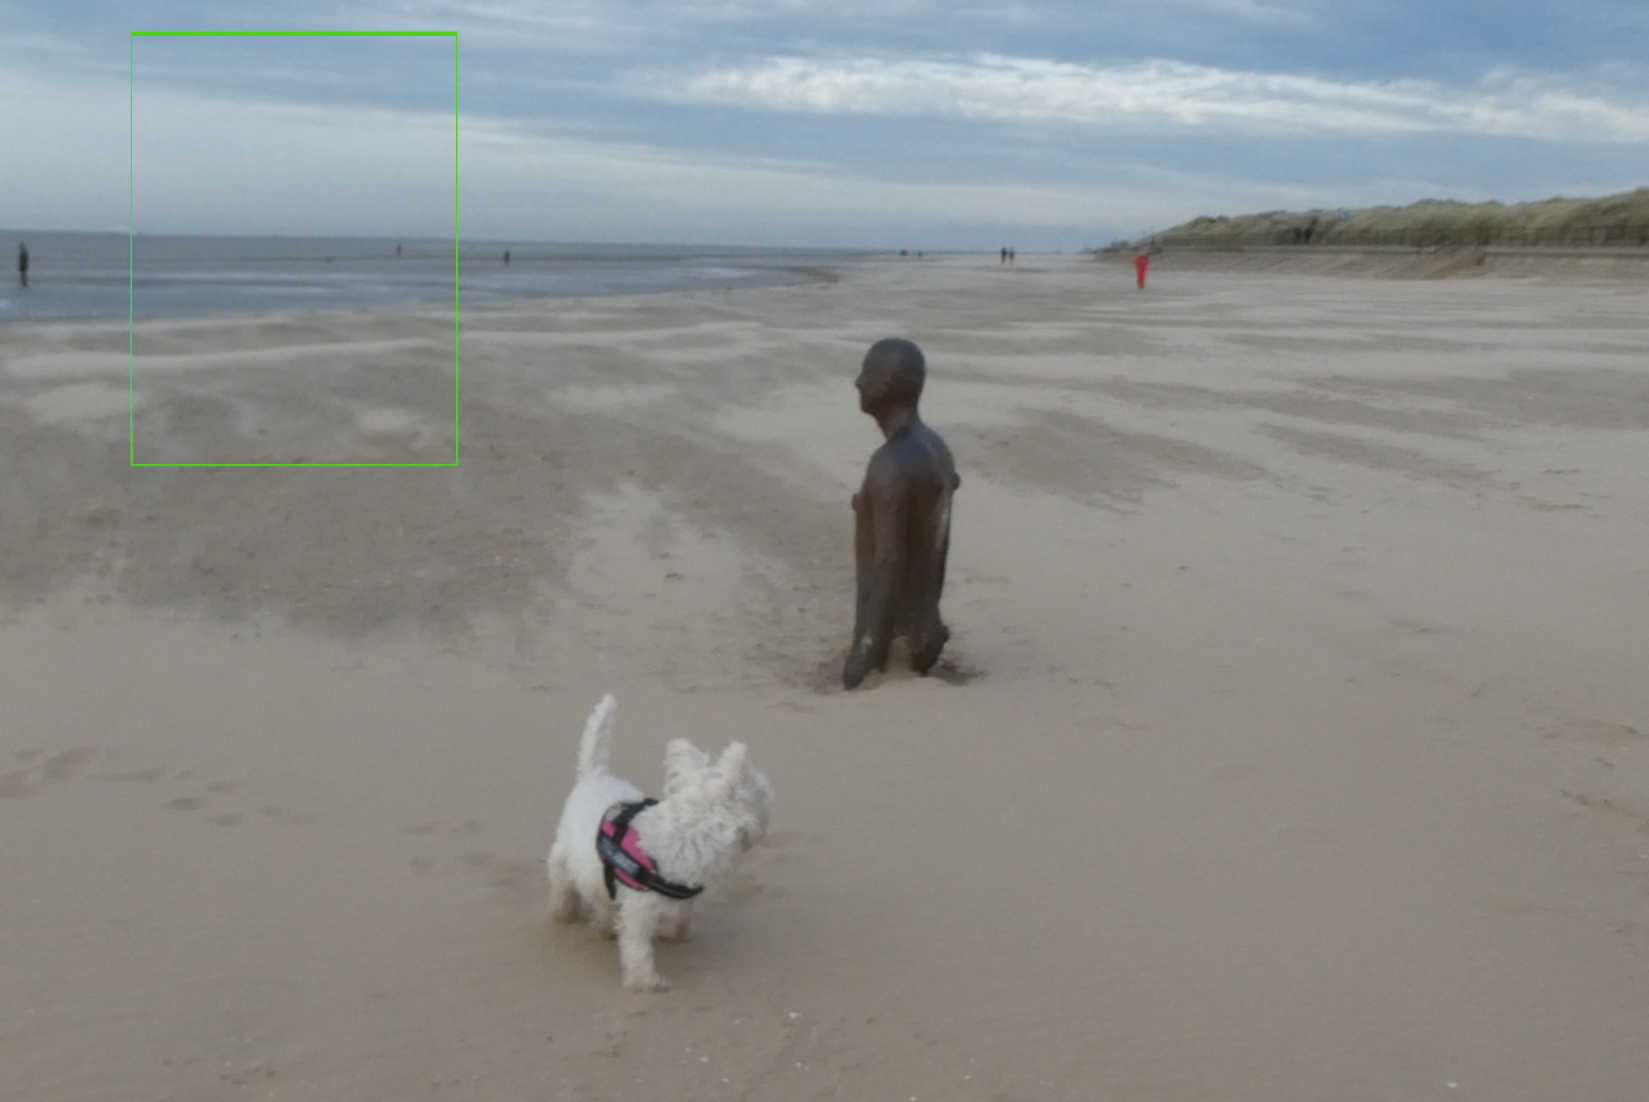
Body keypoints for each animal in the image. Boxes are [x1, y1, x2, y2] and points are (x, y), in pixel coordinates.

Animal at [544, 692, 768, 996]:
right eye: (765, 794)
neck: (687, 831)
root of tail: (595, 776)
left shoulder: (683, 895)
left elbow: (681, 918)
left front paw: (675, 935)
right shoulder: (638, 909)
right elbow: (637, 950)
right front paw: (647, 983)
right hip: (564, 853)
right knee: (562, 884)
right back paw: (566, 913)